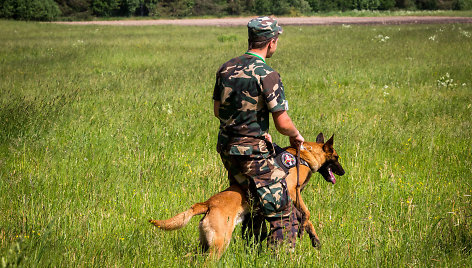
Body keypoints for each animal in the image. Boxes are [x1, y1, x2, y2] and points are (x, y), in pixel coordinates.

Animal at [149, 133, 344, 258]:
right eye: (336, 157)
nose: (343, 172)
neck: (304, 154)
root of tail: (207, 203)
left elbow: (306, 219)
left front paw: (314, 239)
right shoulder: (292, 191)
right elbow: (307, 213)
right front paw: (305, 230)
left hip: (206, 244)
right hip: (219, 244)